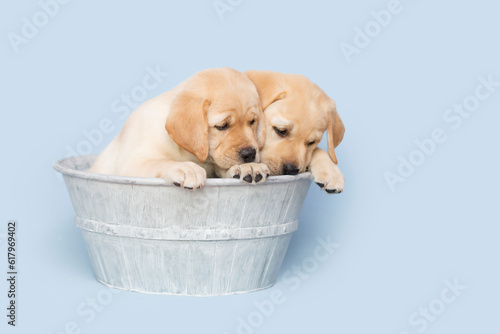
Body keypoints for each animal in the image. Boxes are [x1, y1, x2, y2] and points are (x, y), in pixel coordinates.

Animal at [90, 68, 270, 189]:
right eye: (222, 126)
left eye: (252, 122)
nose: (250, 154)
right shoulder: (131, 164)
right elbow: (160, 162)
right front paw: (185, 167)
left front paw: (248, 166)